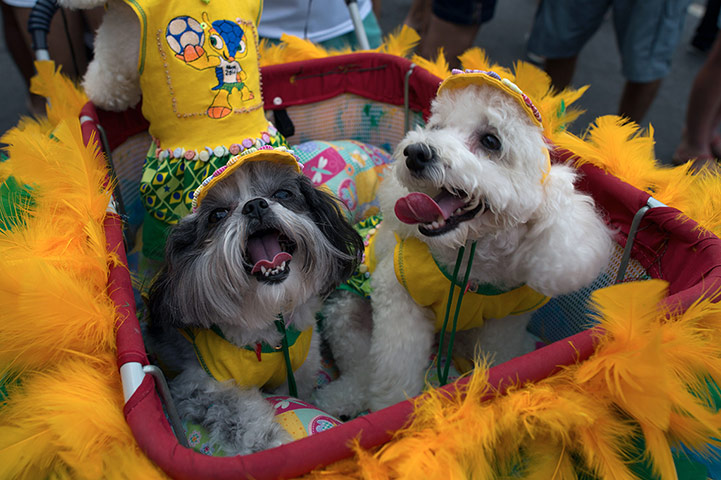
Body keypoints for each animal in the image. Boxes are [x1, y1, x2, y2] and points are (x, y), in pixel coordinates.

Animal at [146, 148, 362, 456]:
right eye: (217, 215)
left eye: (282, 194)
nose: (255, 206)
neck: (270, 322)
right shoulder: (197, 386)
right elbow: (242, 415)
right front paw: (274, 443)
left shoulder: (298, 371)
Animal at [316, 70, 612, 416]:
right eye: (436, 128)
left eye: (491, 141)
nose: (416, 153)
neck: (470, 258)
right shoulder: (398, 299)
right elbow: (394, 371)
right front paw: (396, 412)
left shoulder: (505, 322)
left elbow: (501, 358)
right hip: (345, 312)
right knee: (360, 368)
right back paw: (340, 398)